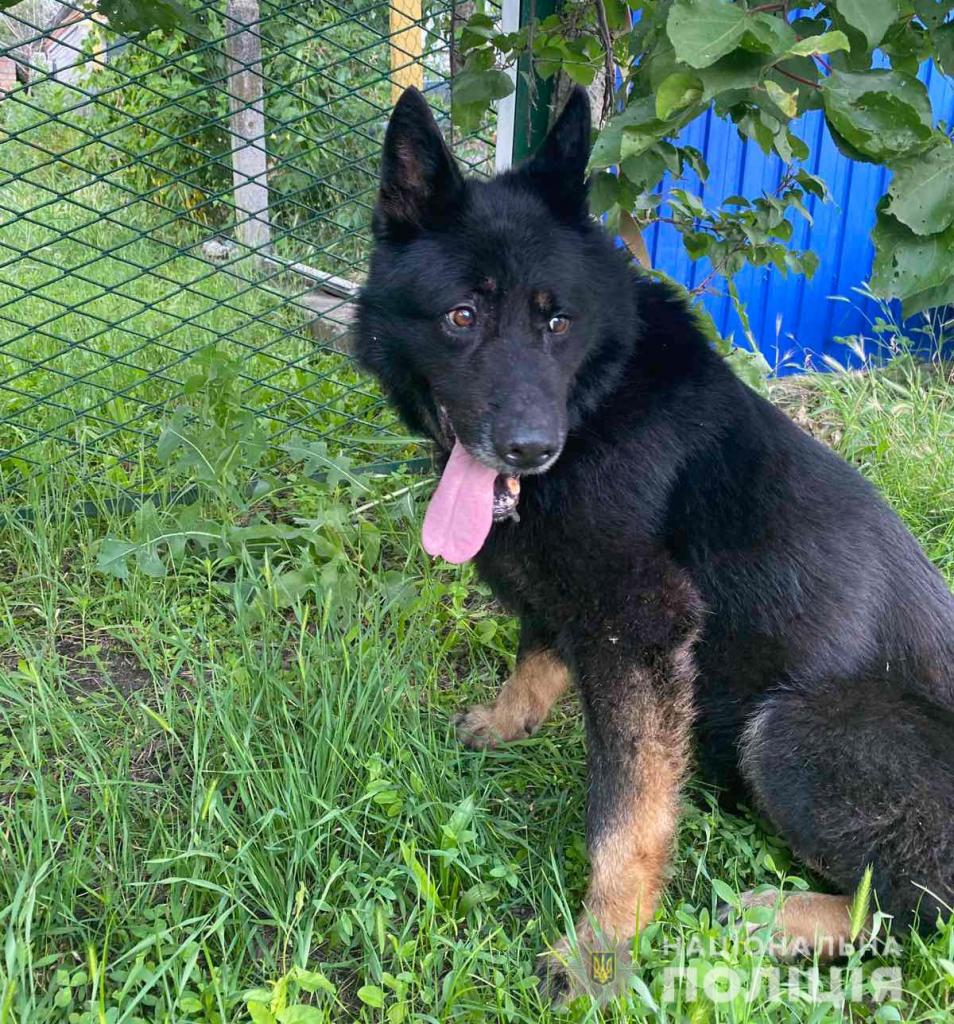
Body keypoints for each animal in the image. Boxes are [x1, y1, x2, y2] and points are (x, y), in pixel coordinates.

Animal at [358, 88, 953, 999]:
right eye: (462, 316)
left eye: (557, 321)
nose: (531, 450)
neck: (598, 397)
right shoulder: (571, 595)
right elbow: (535, 655)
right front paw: (506, 719)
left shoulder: (643, 628)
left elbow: (626, 816)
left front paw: (600, 949)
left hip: (793, 727)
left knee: (916, 910)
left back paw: (779, 916)